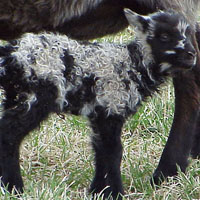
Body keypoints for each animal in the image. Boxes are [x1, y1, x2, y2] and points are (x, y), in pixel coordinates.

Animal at [0, 9, 197, 198]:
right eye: (164, 36)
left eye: (186, 34)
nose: (192, 55)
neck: (133, 64)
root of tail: (10, 55)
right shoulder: (111, 106)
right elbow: (113, 151)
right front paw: (115, 192)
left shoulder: (100, 113)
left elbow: (101, 151)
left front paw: (99, 190)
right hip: (35, 96)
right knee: (8, 134)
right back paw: (14, 187)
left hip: (15, 96)